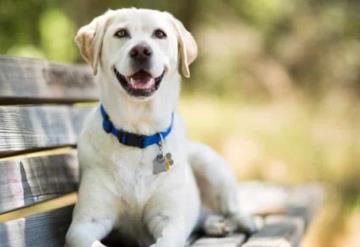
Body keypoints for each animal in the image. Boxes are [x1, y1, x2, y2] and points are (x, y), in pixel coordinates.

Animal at [65, 7, 256, 247]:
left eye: (159, 34)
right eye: (121, 33)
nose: (141, 51)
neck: (138, 133)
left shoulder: (170, 221)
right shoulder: (84, 225)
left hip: (210, 164)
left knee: (231, 208)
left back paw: (244, 222)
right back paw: (216, 225)